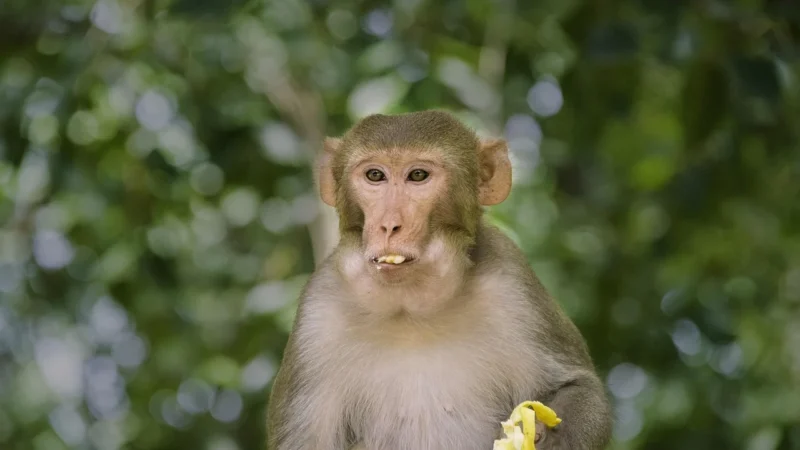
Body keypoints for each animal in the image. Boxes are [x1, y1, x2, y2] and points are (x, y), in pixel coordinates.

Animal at [265, 110, 613, 450]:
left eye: (418, 176)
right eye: (375, 176)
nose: (389, 225)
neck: (410, 310)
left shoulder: (514, 283)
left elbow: (580, 386)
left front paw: (548, 439)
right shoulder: (317, 312)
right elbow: (304, 441)